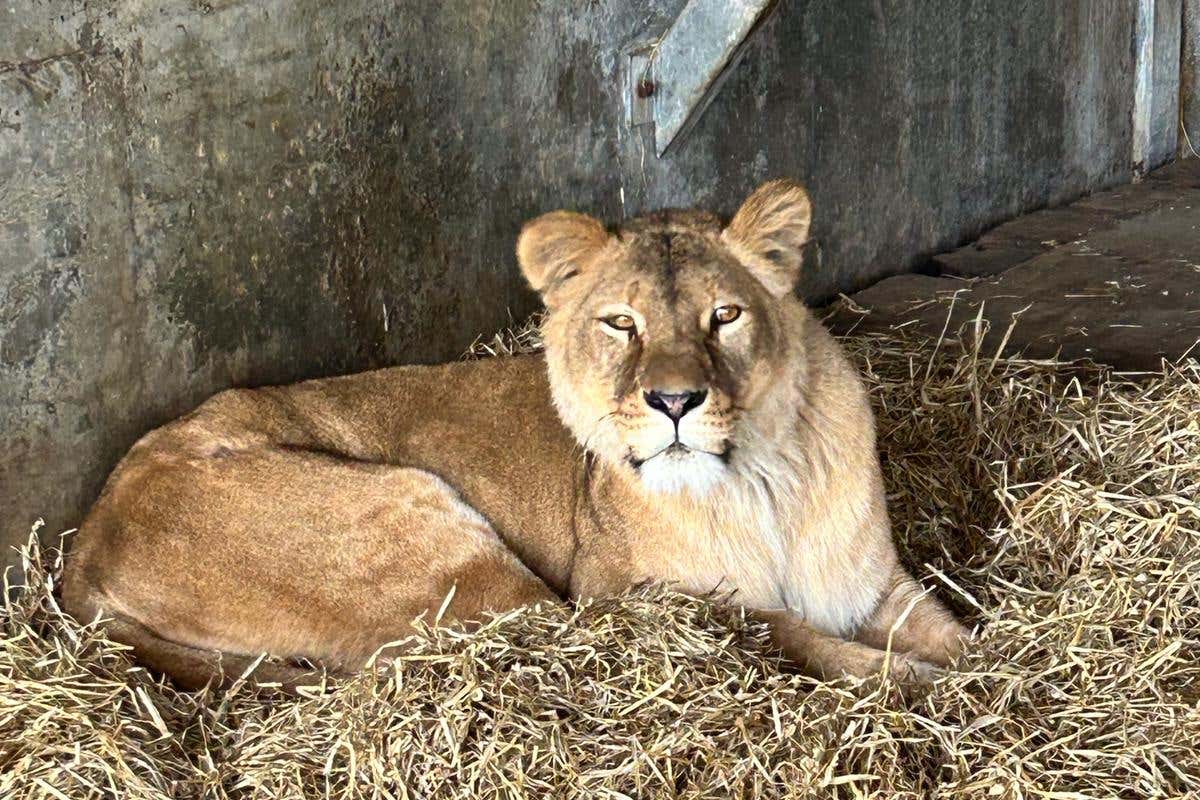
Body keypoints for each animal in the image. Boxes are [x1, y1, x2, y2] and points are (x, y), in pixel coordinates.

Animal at [62, 180, 970, 688]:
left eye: (725, 315)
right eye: (620, 323)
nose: (675, 400)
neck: (759, 482)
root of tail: (84, 543)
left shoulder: (873, 586)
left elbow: (955, 631)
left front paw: (982, 665)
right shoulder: (644, 595)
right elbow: (804, 638)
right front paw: (920, 684)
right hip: (449, 544)